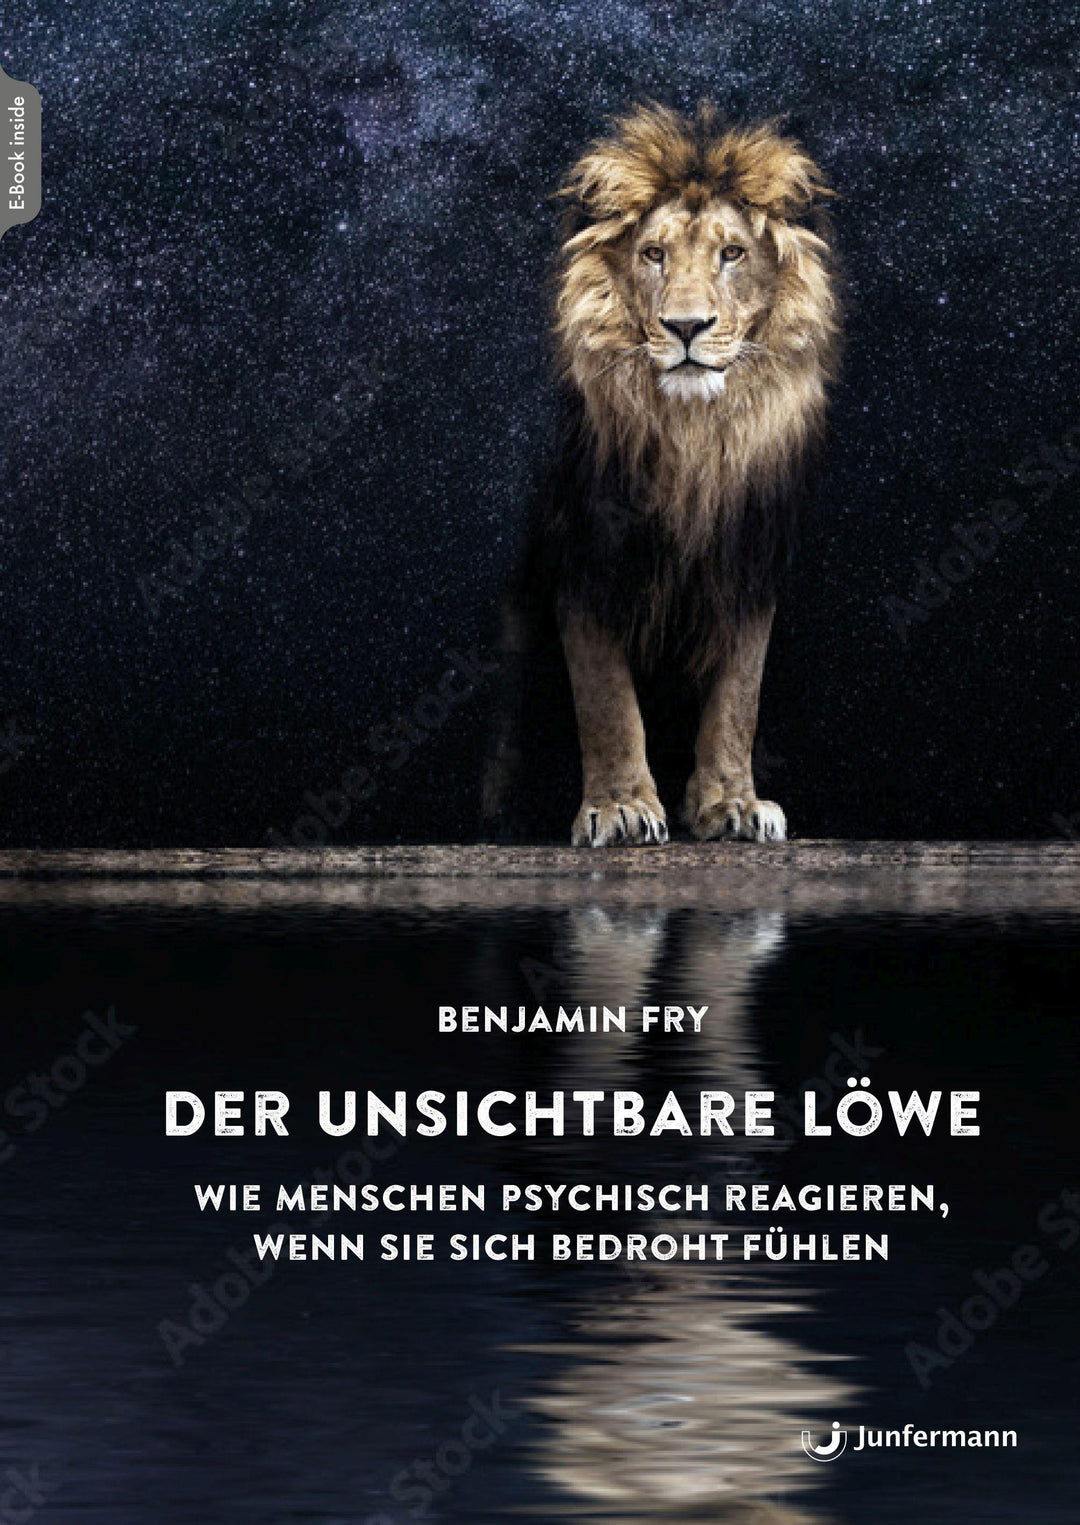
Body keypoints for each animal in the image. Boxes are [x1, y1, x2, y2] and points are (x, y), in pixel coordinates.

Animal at [484, 102, 840, 847]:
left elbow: (739, 695)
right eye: (655, 254)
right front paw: (620, 807)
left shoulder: (749, 557)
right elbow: (606, 697)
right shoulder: (585, 551)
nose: (685, 326)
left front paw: (732, 804)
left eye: (732, 253)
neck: (694, 436)